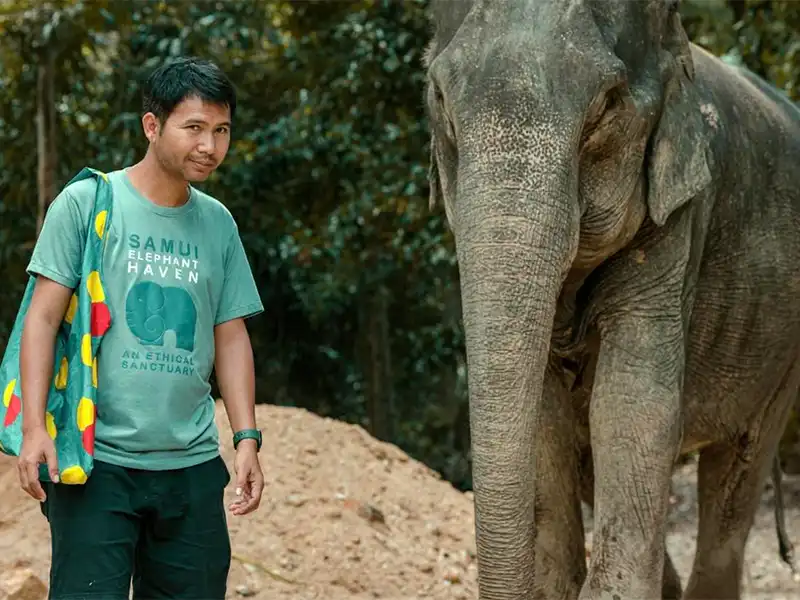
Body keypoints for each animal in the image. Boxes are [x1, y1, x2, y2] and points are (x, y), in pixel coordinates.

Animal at [423, 1, 800, 599]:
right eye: (439, 96)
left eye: (605, 104)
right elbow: (547, 420)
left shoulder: (681, 218)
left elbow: (631, 408)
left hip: (783, 352)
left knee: (735, 479)